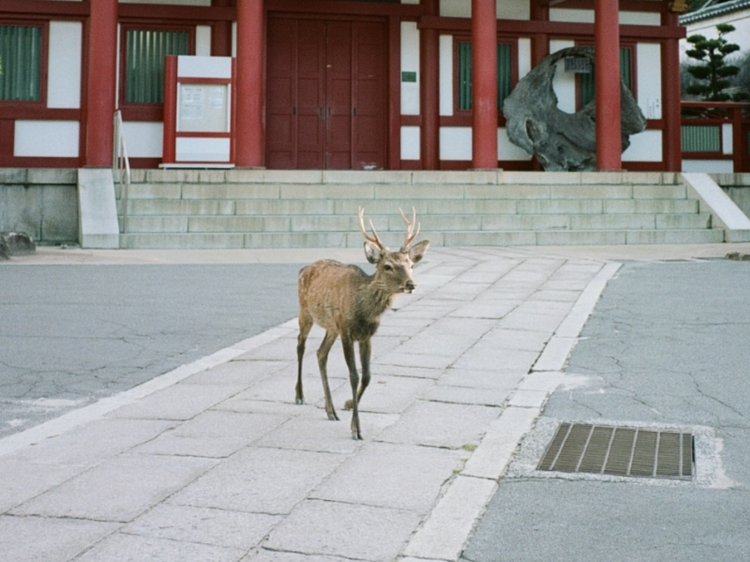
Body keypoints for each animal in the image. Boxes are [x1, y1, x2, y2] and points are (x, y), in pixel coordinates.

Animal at [296, 206, 432, 438]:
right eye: (387, 266)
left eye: (411, 264)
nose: (411, 284)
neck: (364, 312)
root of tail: (303, 269)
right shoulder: (347, 332)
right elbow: (354, 375)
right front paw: (356, 429)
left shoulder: (366, 336)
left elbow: (367, 376)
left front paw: (348, 404)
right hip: (305, 310)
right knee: (300, 345)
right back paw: (299, 396)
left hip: (332, 327)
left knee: (321, 353)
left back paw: (330, 410)